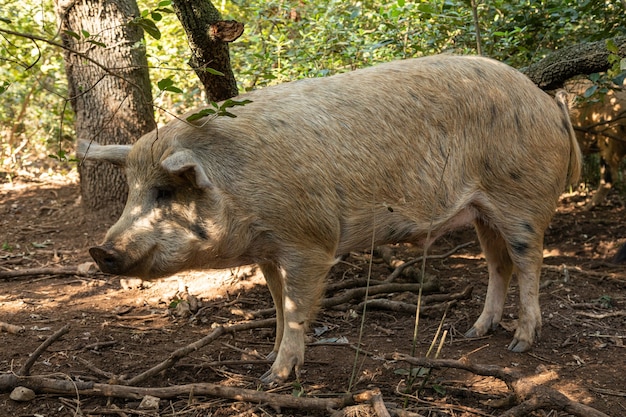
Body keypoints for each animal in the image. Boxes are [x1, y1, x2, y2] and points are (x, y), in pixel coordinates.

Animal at [77, 54, 580, 384]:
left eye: (164, 192)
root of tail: (546, 100)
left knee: (530, 262)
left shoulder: (310, 242)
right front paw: (267, 360)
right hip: (480, 209)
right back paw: (474, 331)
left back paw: (520, 342)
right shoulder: (268, 250)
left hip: (522, 199)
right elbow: (277, 304)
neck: (238, 190)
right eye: (131, 191)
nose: (99, 249)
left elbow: (298, 308)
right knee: (499, 264)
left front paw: (274, 379)